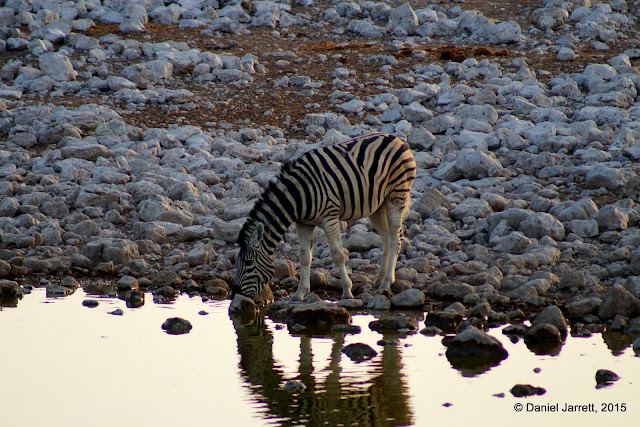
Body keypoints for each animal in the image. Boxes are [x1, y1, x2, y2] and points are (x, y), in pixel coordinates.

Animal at [232, 133, 418, 300]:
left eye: (248, 263)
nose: (235, 294)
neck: (298, 195)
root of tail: (396, 138)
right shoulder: (303, 223)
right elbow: (304, 256)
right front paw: (300, 293)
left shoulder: (330, 218)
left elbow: (337, 254)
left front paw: (347, 291)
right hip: (377, 206)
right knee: (386, 238)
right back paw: (379, 280)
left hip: (396, 196)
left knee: (395, 239)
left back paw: (386, 283)